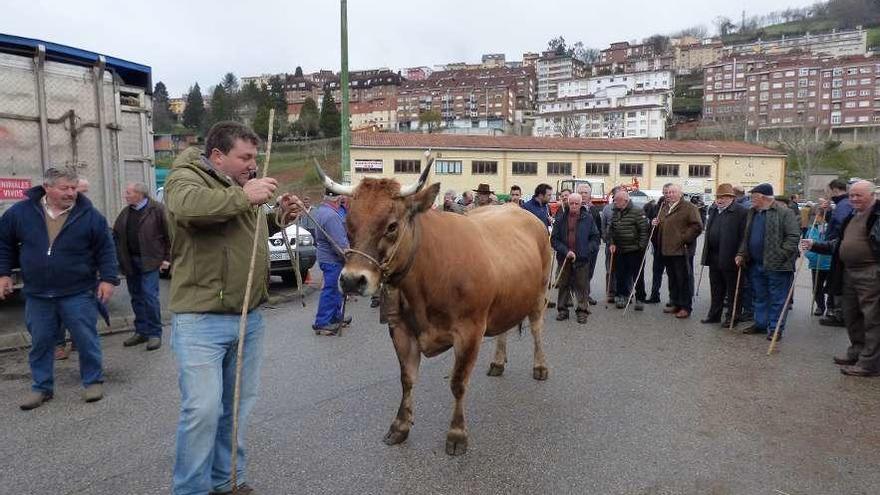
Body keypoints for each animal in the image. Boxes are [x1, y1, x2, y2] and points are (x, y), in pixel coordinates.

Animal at [316, 160, 552, 458]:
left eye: (392, 226)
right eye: (348, 224)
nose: (351, 280)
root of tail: (518, 210)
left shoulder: (470, 331)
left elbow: (458, 382)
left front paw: (457, 433)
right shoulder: (400, 329)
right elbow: (406, 378)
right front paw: (399, 426)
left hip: (539, 293)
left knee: (536, 329)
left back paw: (540, 366)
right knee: (503, 329)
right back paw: (498, 362)